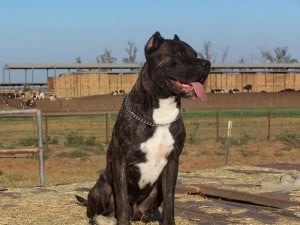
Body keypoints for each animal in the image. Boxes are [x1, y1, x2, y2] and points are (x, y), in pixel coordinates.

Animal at [76, 32, 210, 225]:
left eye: (195, 54)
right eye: (178, 54)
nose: (207, 63)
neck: (160, 113)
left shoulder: (172, 162)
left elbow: (170, 200)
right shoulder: (120, 161)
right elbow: (122, 201)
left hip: (154, 191)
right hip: (101, 188)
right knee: (96, 211)